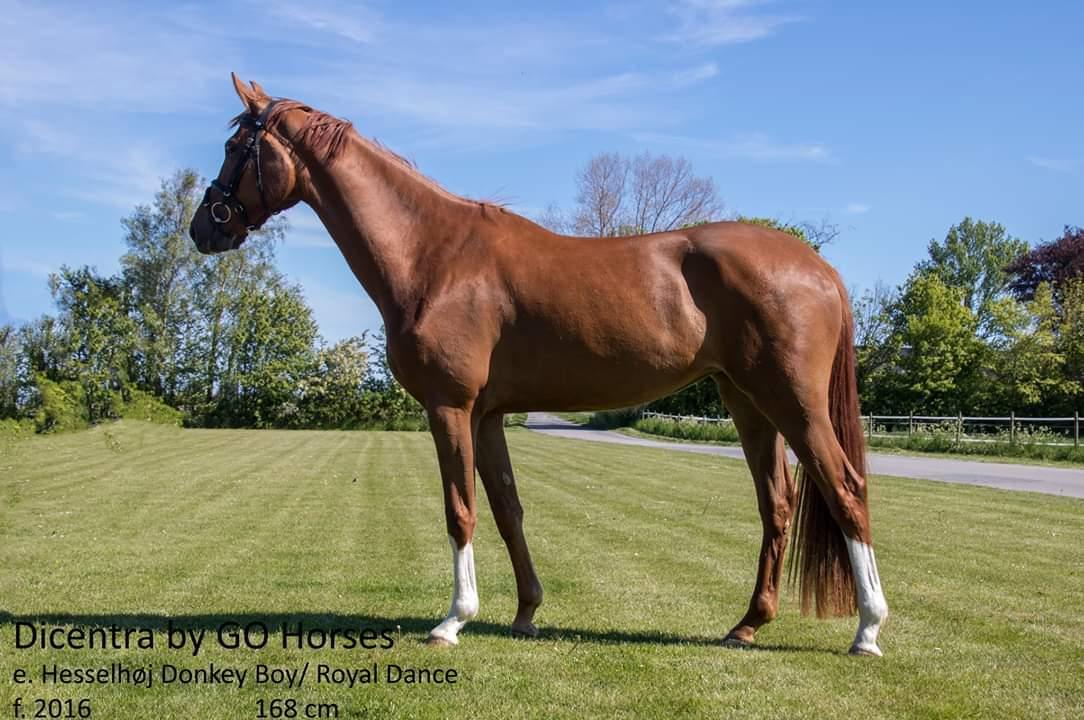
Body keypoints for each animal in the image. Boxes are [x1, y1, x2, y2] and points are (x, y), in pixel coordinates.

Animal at [189, 74, 888, 656]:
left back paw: (868, 631)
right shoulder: (489, 415)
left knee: (845, 489)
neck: (434, 255)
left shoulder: (450, 408)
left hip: (793, 402)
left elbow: (460, 509)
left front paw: (453, 620)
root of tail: (818, 267)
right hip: (748, 403)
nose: (204, 227)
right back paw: (746, 625)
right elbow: (506, 509)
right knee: (778, 504)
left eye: (234, 148)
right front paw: (525, 613)